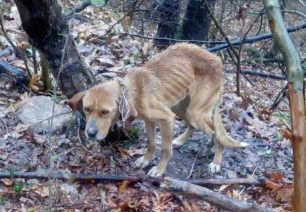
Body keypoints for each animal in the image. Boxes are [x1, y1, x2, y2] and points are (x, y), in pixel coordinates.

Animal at [68, 43, 247, 177]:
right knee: (193, 126)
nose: (90, 134)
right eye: (86, 109)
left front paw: (159, 170)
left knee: (217, 136)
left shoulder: (167, 118)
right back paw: (181, 140)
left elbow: (165, 149)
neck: (133, 92)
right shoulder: (150, 121)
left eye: (105, 112)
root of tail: (218, 60)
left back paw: (216, 163)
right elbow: (151, 143)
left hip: (194, 112)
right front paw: (146, 160)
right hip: (181, 108)